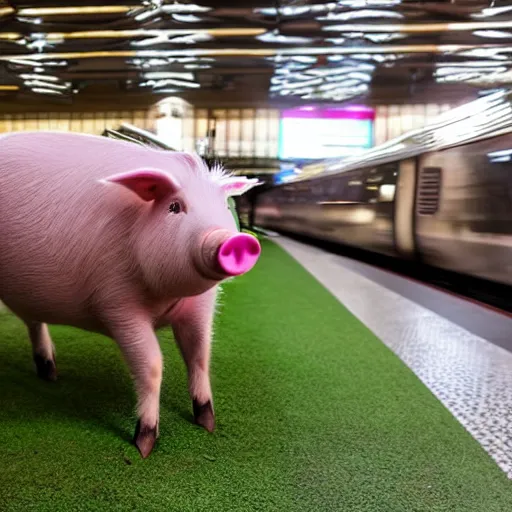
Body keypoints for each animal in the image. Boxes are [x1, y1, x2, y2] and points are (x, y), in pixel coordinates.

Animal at [0, 130, 260, 458]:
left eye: (224, 207)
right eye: (175, 207)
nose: (234, 241)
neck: (168, 296)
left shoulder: (201, 305)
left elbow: (200, 355)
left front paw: (207, 423)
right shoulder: (117, 302)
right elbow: (152, 365)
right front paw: (144, 445)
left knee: (34, 323)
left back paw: (50, 374)